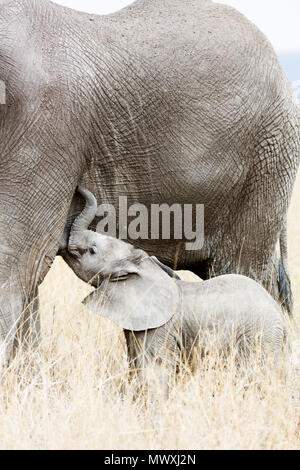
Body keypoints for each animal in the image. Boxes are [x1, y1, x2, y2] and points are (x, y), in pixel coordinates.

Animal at [63, 185, 288, 392]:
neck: (144, 266)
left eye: (92, 250)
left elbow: (155, 373)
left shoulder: (161, 330)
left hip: (261, 337)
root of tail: (282, 319)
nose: (79, 188)